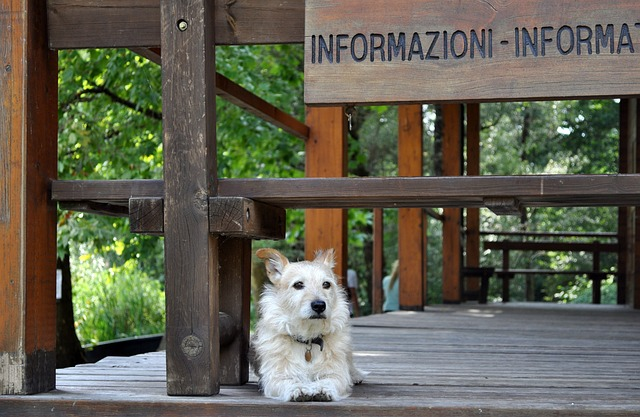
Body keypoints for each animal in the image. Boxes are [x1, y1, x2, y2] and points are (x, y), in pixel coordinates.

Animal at [252, 247, 368, 400]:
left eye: (326, 284)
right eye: (298, 285)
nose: (319, 305)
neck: (308, 339)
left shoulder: (336, 373)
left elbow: (331, 380)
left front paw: (322, 388)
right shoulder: (276, 376)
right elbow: (288, 380)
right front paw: (298, 388)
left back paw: (355, 375)